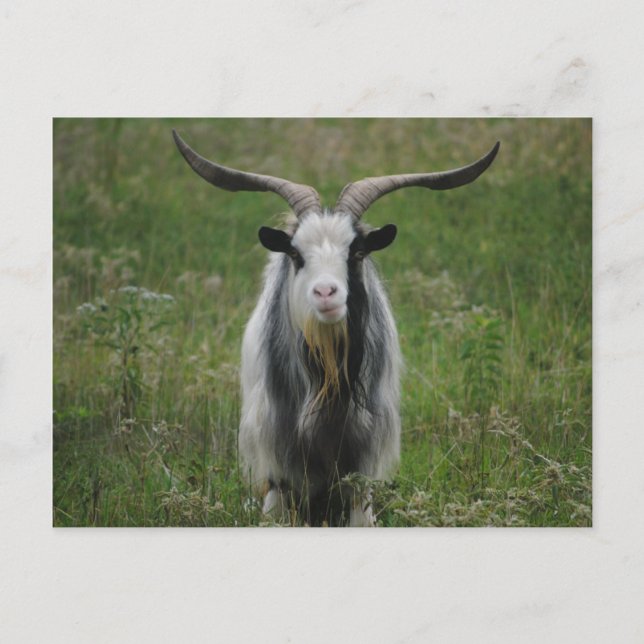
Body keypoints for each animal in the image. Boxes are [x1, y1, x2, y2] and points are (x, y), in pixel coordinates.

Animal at [173, 130, 499, 526]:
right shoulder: (279, 458)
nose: (326, 292)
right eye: (296, 255)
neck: (329, 387)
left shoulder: (363, 458)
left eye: (357, 253)